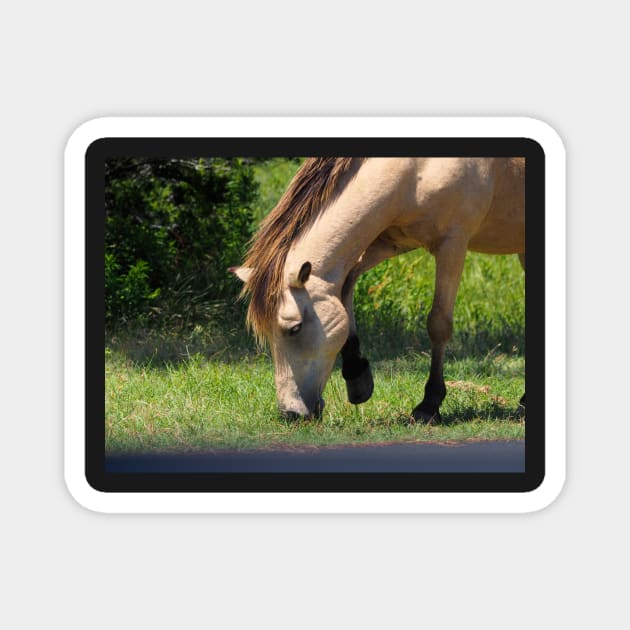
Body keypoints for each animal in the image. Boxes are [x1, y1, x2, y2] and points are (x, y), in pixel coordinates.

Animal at [230, 158, 524, 424]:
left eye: (294, 329)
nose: (290, 414)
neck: (416, 169)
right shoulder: (389, 241)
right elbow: (346, 283)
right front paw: (357, 376)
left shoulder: (452, 244)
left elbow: (438, 324)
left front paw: (429, 405)